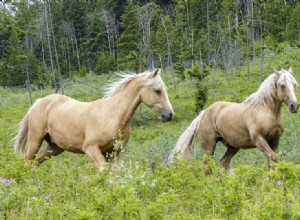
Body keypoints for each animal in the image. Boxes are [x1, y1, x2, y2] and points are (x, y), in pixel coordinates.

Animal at [14, 69, 175, 171]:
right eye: (157, 90)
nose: (169, 114)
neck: (112, 116)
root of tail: (38, 102)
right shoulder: (91, 149)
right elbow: (104, 171)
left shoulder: (114, 153)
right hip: (35, 141)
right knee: (27, 161)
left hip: (55, 147)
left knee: (36, 162)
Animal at [166, 68, 298, 174]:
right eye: (282, 85)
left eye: (294, 84)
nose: (294, 106)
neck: (266, 111)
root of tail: (205, 112)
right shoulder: (259, 140)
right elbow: (274, 158)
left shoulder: (275, 140)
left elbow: (272, 161)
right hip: (210, 146)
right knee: (208, 167)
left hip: (233, 146)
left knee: (224, 162)